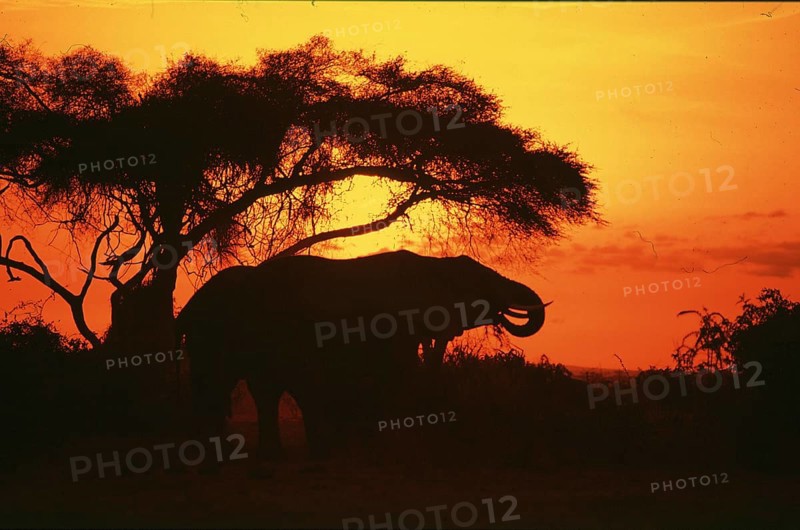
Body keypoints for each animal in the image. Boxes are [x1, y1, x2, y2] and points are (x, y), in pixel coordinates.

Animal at [175, 250, 548, 459]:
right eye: (480, 284)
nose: (504, 311)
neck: (432, 266)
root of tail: (188, 309)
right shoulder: (396, 324)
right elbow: (398, 374)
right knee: (229, 385)